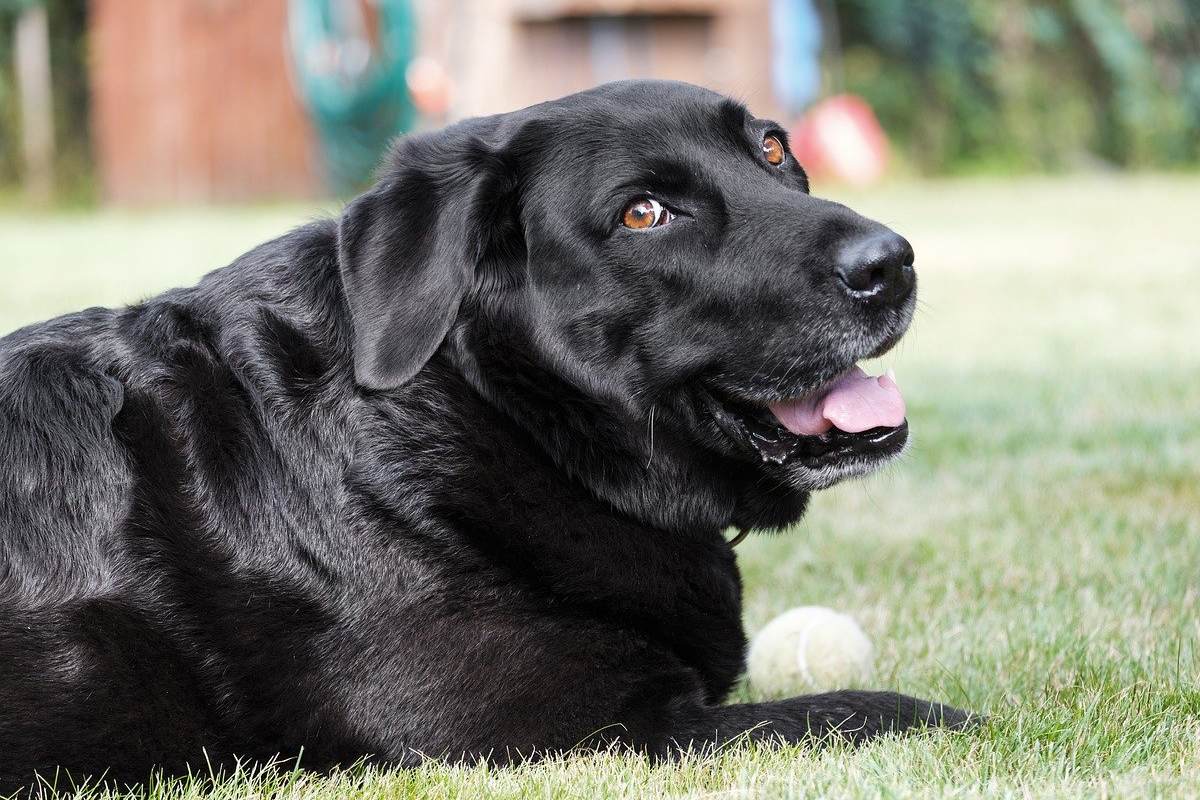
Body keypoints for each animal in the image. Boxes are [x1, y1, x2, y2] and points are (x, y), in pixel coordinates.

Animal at [0, 77, 969, 791]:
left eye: (773, 149)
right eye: (644, 213)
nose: (891, 263)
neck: (489, 409)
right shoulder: (596, 726)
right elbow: (872, 709)